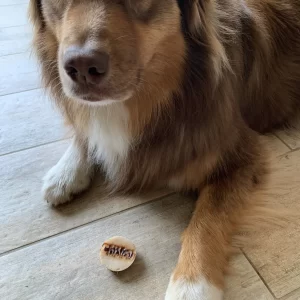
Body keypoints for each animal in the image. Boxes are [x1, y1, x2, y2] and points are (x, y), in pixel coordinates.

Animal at [28, 0, 300, 300]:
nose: (82, 66)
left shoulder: (243, 155)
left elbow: (206, 219)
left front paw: (192, 285)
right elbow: (85, 129)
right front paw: (65, 173)